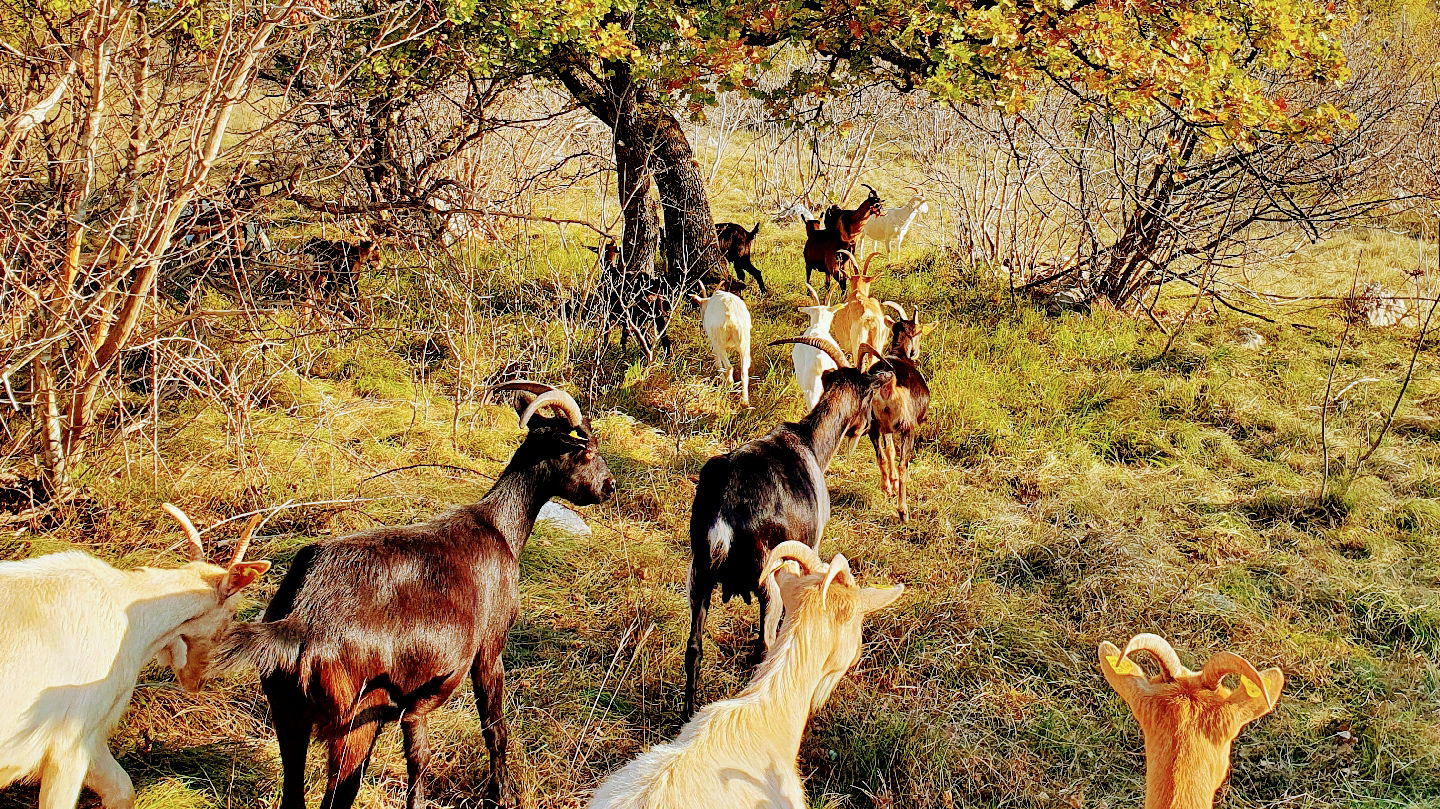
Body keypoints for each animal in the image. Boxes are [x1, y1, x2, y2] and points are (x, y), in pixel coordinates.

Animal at [214, 380, 613, 806]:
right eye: (586, 449)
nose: (610, 486)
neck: (500, 528)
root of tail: (300, 618)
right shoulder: (490, 648)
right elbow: (495, 728)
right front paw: (501, 793)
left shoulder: (414, 702)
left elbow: (418, 756)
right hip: (355, 722)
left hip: (287, 713)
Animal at [682, 336, 892, 713]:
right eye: (870, 396)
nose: (869, 427)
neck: (811, 441)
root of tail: (726, 508)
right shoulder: (806, 553)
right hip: (769, 582)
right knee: (763, 649)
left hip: (698, 572)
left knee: (694, 646)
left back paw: (688, 712)